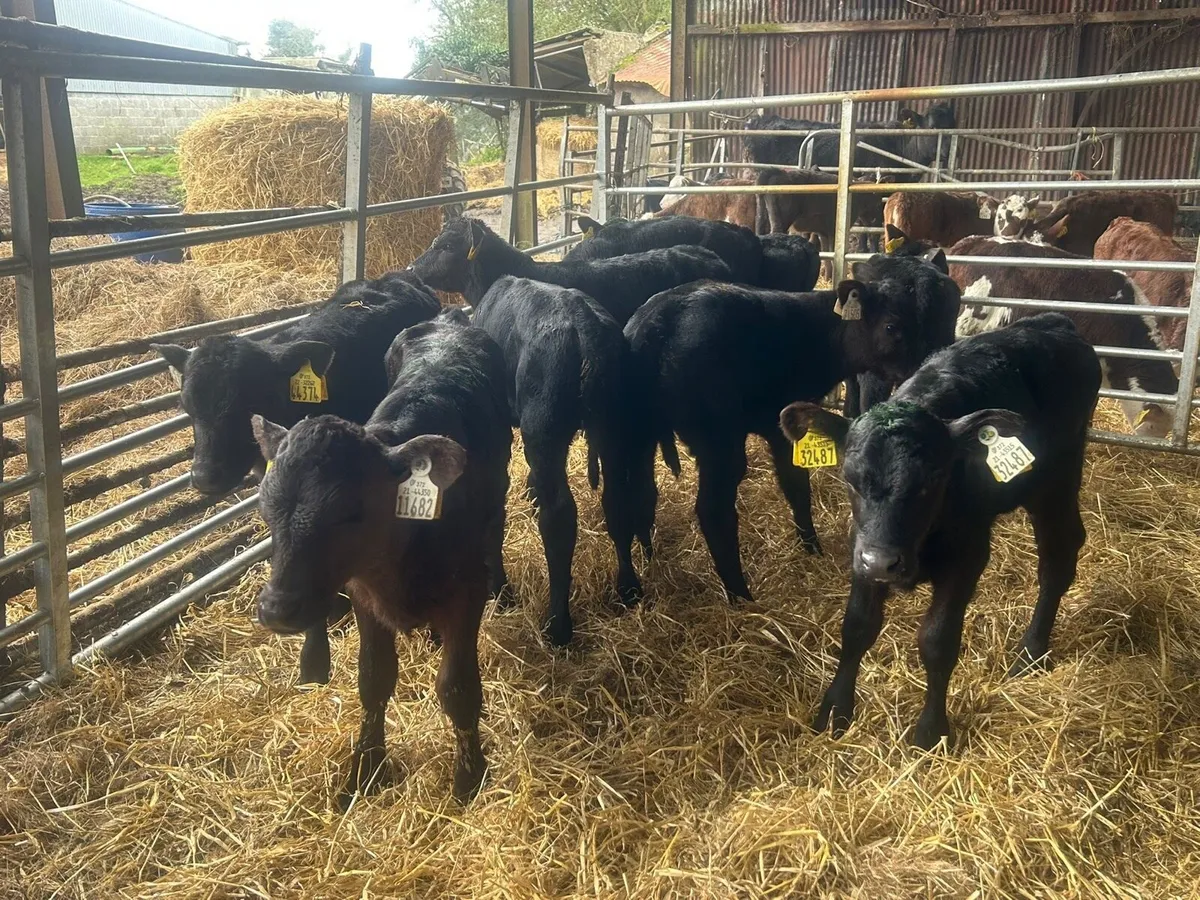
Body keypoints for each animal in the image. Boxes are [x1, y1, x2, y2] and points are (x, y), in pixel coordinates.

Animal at [252, 308, 512, 808]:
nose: (277, 608)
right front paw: (364, 768)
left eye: (350, 511)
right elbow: (373, 679)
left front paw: (468, 779)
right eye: (265, 504)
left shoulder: (466, 592)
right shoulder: (362, 595)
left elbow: (458, 688)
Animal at [623, 250, 960, 603]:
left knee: (640, 495)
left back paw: (649, 557)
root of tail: (658, 321)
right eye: (892, 326)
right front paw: (812, 546)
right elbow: (796, 485)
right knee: (713, 510)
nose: (922, 365)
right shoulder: (783, 423)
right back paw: (740, 593)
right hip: (719, 440)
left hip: (638, 434)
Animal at [780, 312, 1101, 750]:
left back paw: (1031, 652)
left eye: (933, 478)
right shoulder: (861, 547)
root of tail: (1053, 322)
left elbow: (937, 641)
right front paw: (835, 710)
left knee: (1059, 557)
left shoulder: (966, 557)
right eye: (849, 478)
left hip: (1055, 481)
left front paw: (930, 732)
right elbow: (857, 626)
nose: (883, 563)